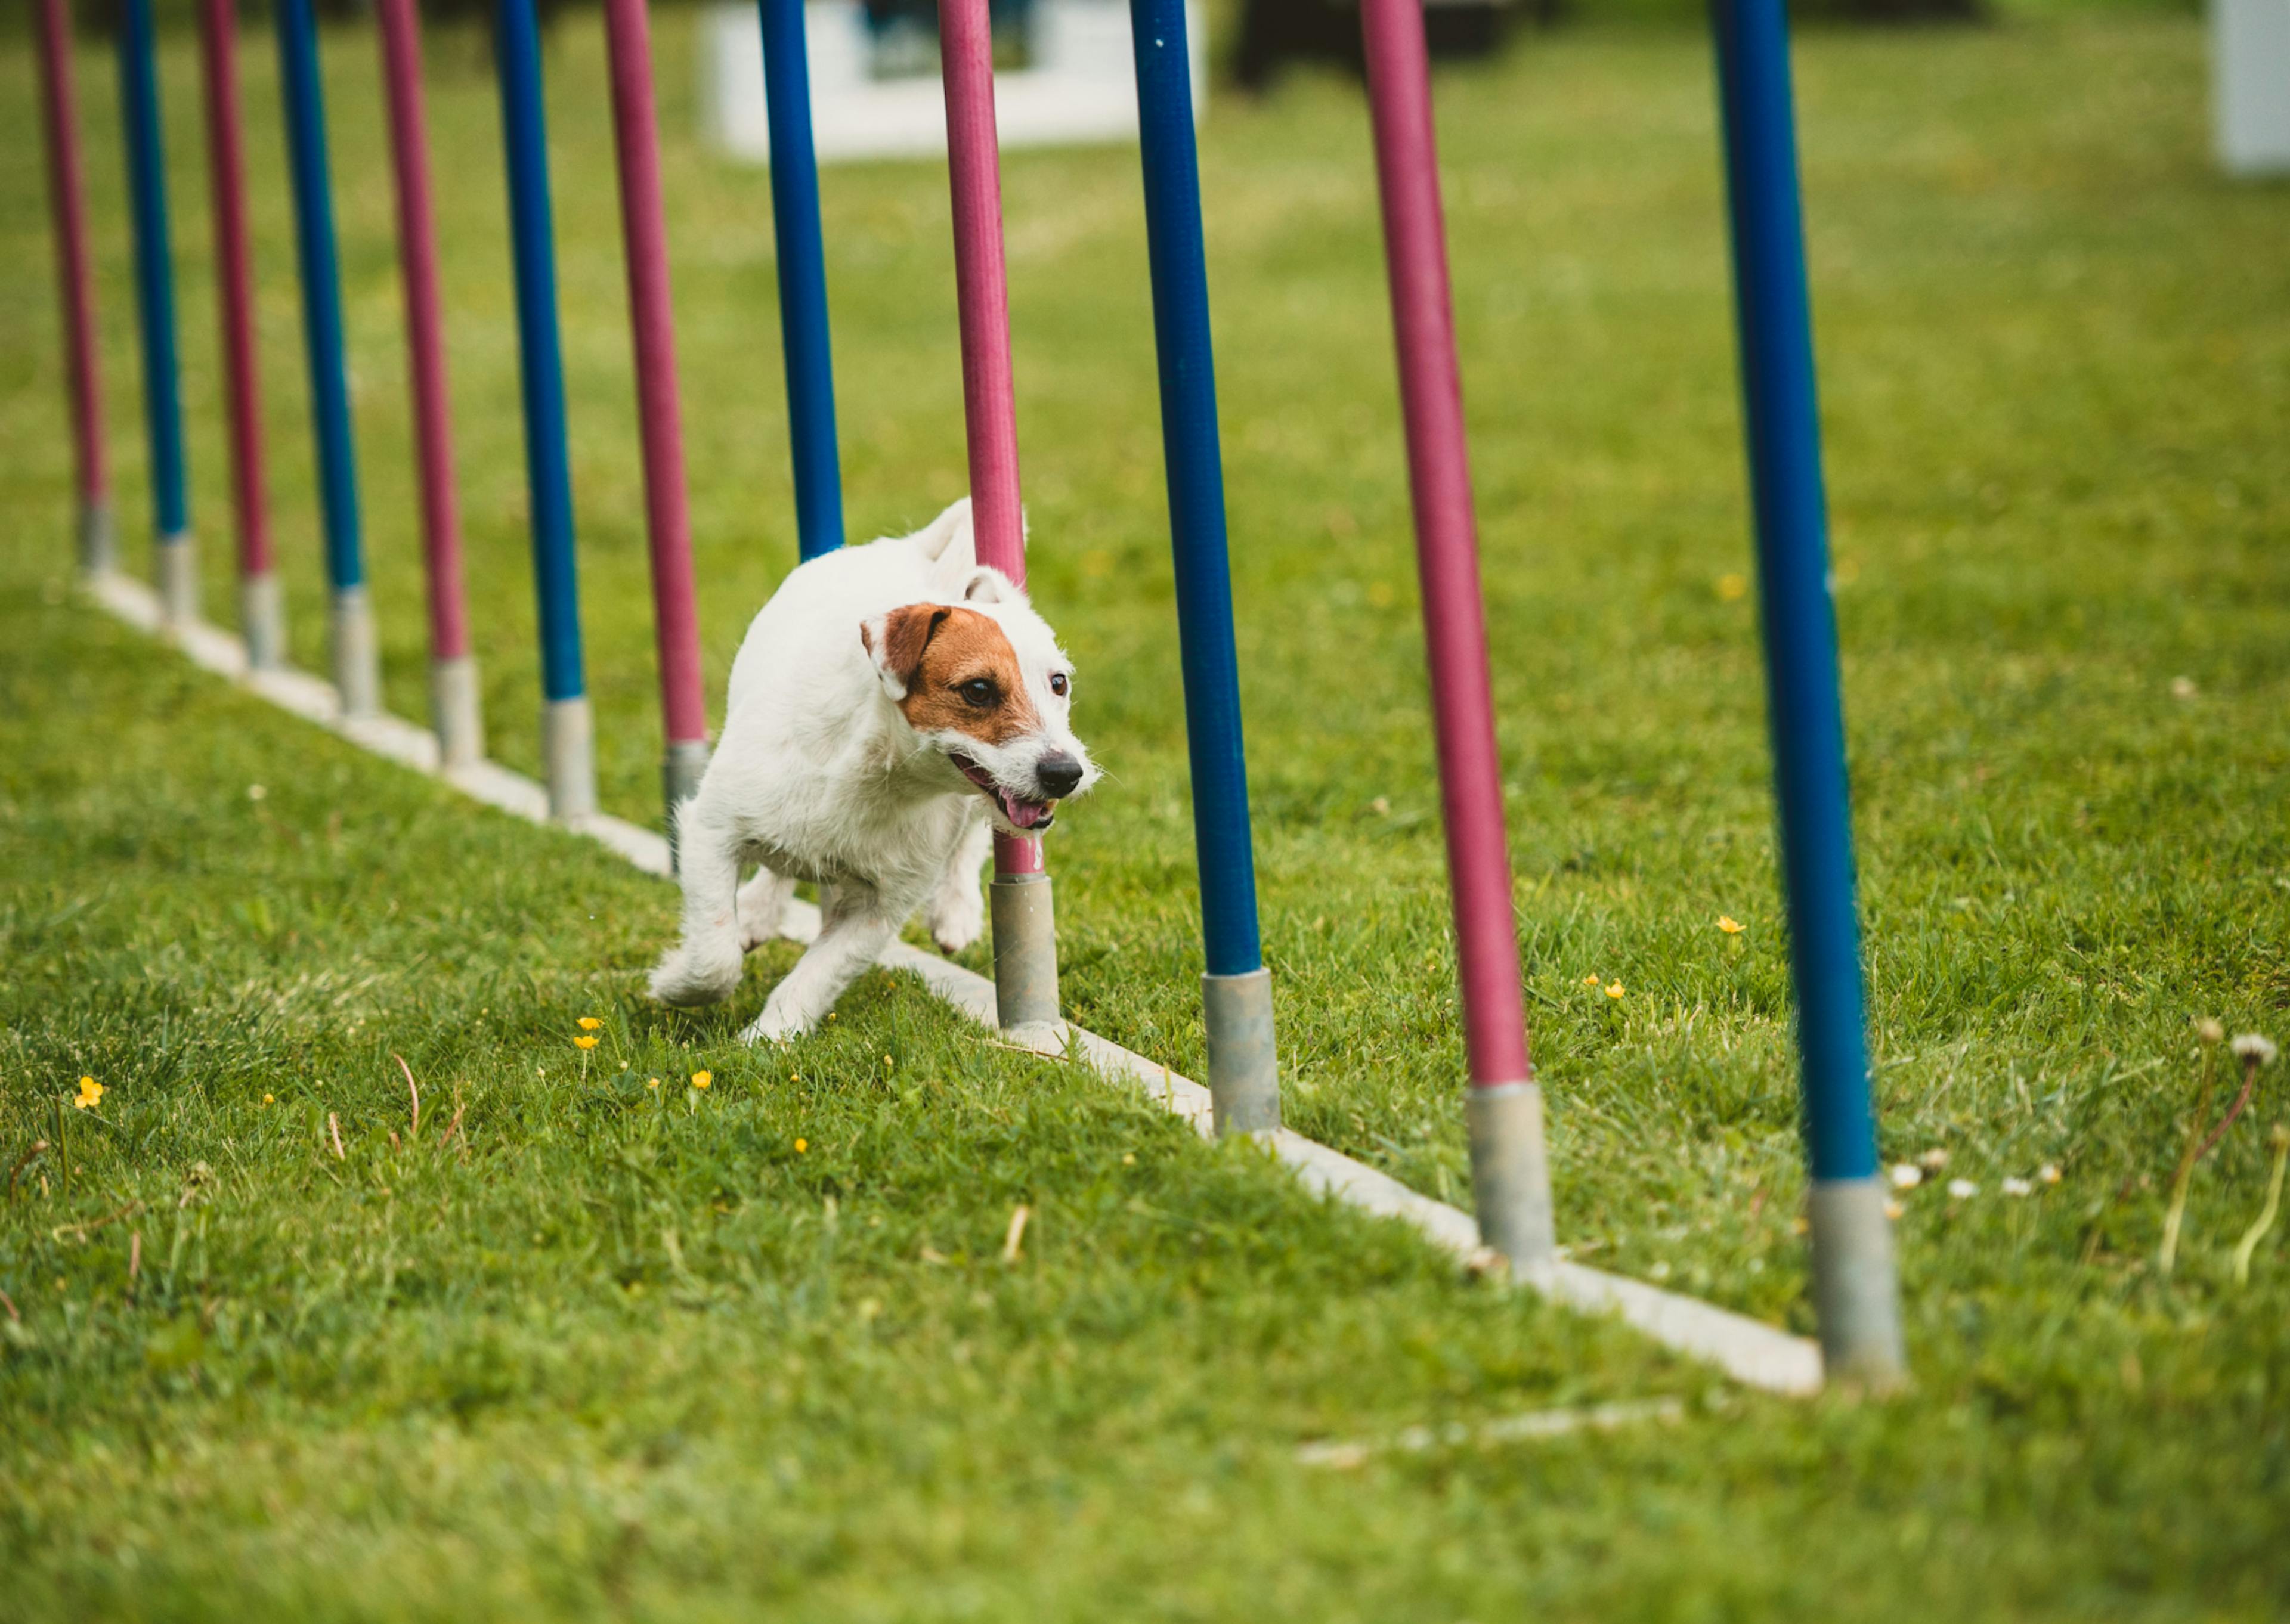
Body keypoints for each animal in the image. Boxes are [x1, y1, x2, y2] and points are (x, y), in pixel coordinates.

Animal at [645, 494, 1099, 1044]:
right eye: (978, 690)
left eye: (1059, 683)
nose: (1065, 774)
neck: (877, 773)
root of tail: (916, 556)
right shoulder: (710, 834)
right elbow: (714, 956)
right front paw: (673, 983)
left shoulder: (881, 908)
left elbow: (816, 976)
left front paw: (768, 1041)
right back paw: (756, 911)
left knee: (974, 836)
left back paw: (956, 910)